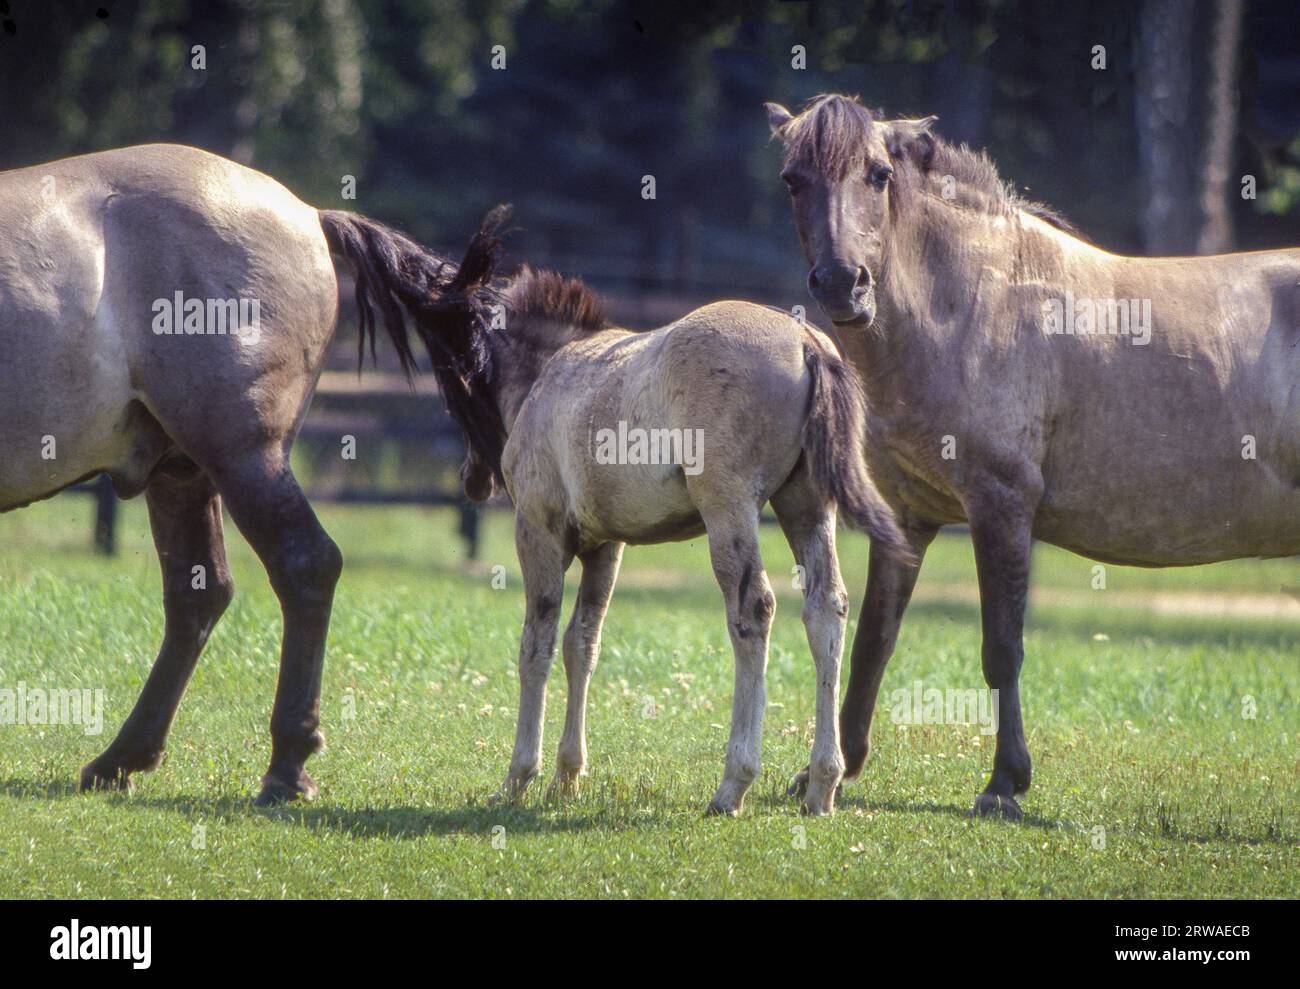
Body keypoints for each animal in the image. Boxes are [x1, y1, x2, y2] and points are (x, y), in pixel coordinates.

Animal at [354, 205, 912, 816]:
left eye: (456, 377)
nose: (474, 480)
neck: (550, 374)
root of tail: (808, 341)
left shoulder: (538, 531)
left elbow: (536, 645)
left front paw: (519, 777)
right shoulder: (606, 546)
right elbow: (582, 644)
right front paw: (567, 776)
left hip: (730, 507)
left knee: (753, 608)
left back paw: (733, 784)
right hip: (806, 505)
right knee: (826, 607)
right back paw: (822, 783)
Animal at [764, 93, 1300, 820]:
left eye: (878, 174)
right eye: (793, 180)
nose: (844, 285)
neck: (972, 302)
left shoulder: (1001, 507)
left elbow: (1002, 647)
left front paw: (1003, 783)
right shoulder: (906, 518)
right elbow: (875, 639)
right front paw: (835, 770)